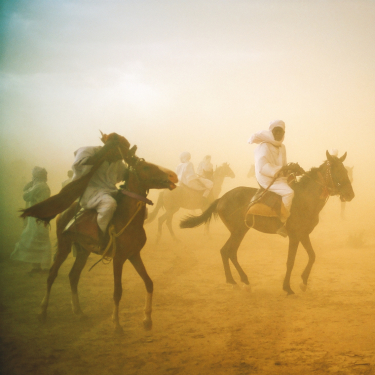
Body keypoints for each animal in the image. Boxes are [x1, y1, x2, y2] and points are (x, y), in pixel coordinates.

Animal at [39, 151, 178, 334]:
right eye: (146, 167)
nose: (173, 175)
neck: (127, 218)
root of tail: (65, 212)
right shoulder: (118, 258)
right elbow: (117, 291)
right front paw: (116, 324)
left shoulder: (134, 255)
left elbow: (149, 283)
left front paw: (147, 320)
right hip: (64, 246)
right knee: (52, 274)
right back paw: (43, 312)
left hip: (83, 251)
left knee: (73, 276)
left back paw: (78, 311)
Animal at [181, 151, 356, 296]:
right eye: (338, 171)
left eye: (346, 171)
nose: (350, 194)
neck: (304, 199)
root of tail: (221, 199)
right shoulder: (294, 236)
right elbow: (290, 261)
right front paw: (287, 287)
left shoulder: (303, 234)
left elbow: (312, 256)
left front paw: (304, 282)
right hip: (239, 231)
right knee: (229, 251)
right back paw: (241, 281)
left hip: (239, 230)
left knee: (226, 251)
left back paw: (236, 281)